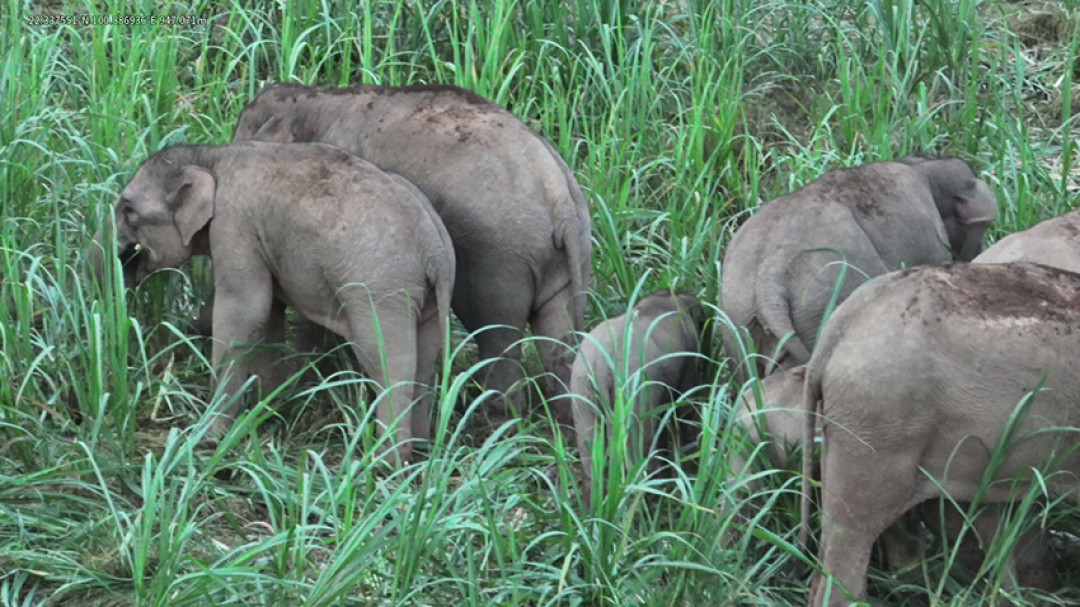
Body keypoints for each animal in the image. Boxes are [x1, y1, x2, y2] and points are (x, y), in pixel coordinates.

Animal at [88, 142, 455, 465]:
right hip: (429, 295)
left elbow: (245, 311)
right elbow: (269, 316)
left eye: (128, 209)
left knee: (386, 361)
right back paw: (419, 450)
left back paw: (384, 463)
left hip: (379, 288)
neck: (211, 155)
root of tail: (434, 248)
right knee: (425, 358)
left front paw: (211, 434)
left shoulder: (234, 225)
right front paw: (268, 415)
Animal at [230, 83, 592, 418]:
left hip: (501, 261)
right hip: (565, 259)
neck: (315, 97)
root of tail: (559, 194)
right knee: (557, 342)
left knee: (497, 337)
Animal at [569, 291, 705, 507]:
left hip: (581, 389)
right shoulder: (689, 354)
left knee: (590, 455)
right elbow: (684, 406)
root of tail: (600, 364)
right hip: (633, 387)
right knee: (636, 445)